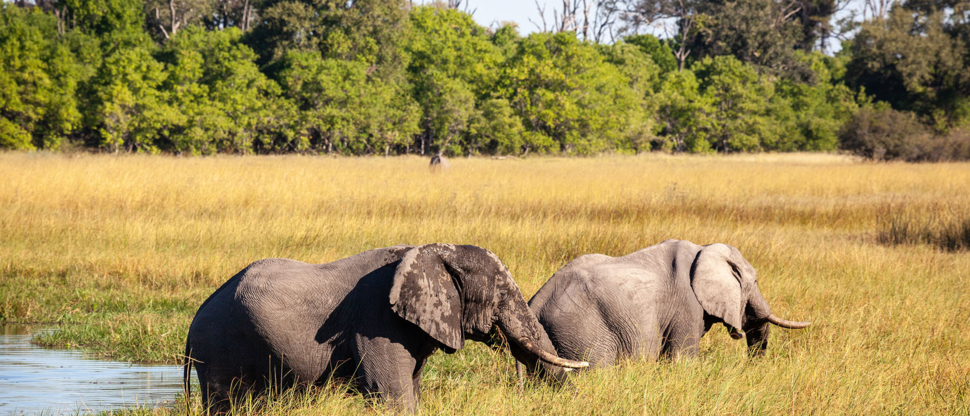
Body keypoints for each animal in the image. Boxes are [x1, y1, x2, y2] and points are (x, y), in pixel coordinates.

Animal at [182, 244, 587, 413]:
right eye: (501, 294)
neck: (433, 250)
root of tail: (194, 319)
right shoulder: (376, 322)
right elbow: (390, 394)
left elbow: (412, 388)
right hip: (219, 349)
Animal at [518, 239, 810, 381]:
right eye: (755, 282)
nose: (750, 368)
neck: (704, 249)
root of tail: (536, 300)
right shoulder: (686, 304)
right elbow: (683, 359)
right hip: (582, 329)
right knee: (595, 370)